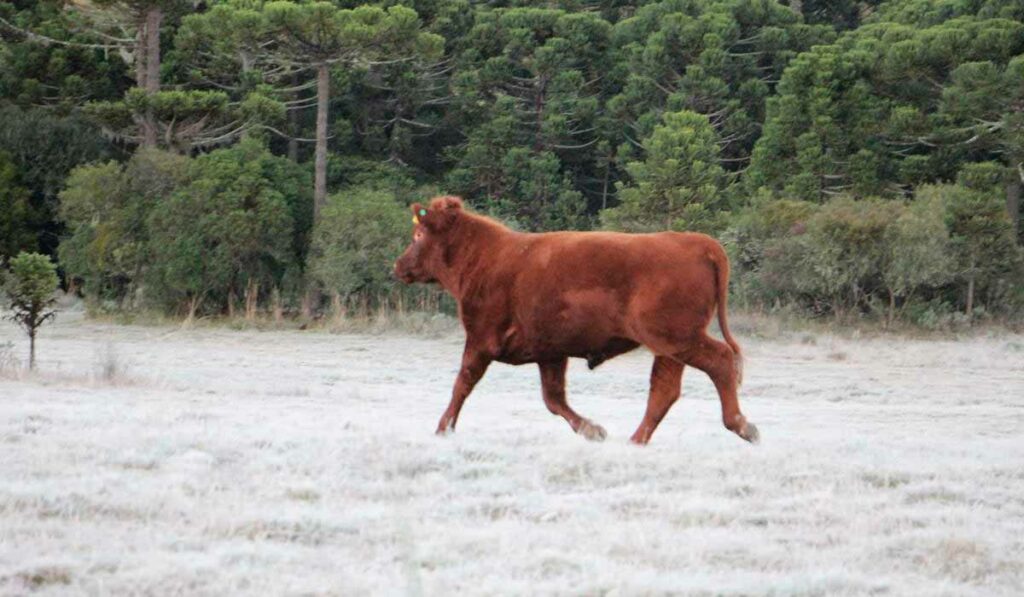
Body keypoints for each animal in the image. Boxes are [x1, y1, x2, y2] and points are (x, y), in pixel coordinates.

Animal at [393, 196, 761, 444]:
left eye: (418, 237)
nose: (398, 266)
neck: (484, 258)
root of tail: (697, 241)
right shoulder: (550, 352)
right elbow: (553, 399)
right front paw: (592, 429)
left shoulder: (481, 340)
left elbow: (462, 384)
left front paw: (443, 428)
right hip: (669, 347)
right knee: (664, 389)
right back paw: (635, 440)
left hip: (679, 338)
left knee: (720, 360)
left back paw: (743, 425)